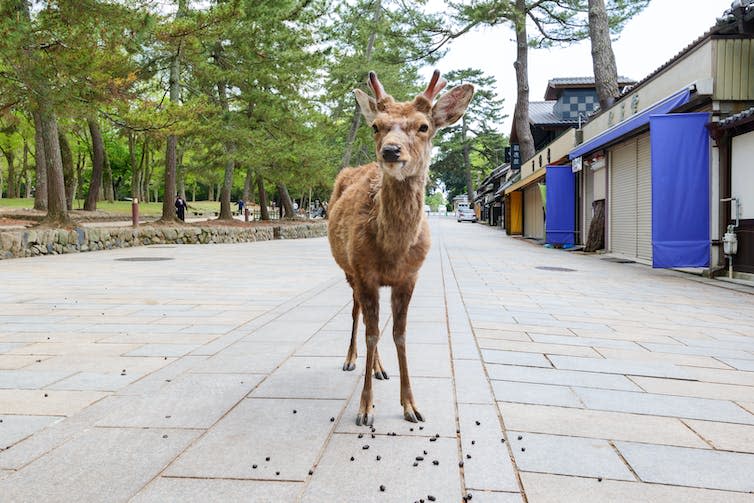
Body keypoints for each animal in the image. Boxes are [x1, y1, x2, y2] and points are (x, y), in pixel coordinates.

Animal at [328, 70, 472, 426]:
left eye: (423, 126)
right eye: (376, 126)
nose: (391, 151)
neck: (392, 251)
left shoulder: (409, 277)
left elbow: (399, 334)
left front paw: (411, 405)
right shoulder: (364, 272)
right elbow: (372, 333)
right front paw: (365, 409)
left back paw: (381, 368)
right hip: (349, 271)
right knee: (357, 314)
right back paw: (351, 359)